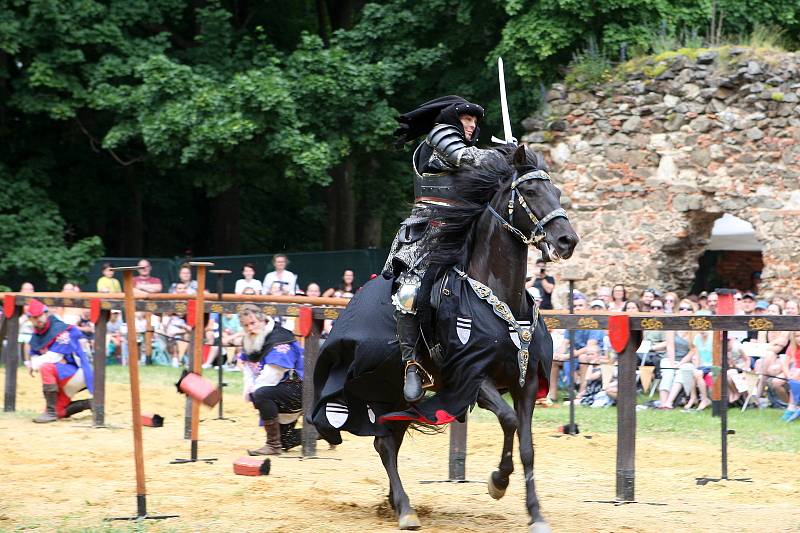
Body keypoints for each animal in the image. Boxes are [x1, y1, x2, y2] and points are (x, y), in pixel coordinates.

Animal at [310, 145, 580, 532]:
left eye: (556, 192)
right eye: (529, 192)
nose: (566, 240)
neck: (500, 299)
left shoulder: (525, 384)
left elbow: (527, 445)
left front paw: (536, 514)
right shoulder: (472, 378)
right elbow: (509, 421)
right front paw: (498, 481)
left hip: (391, 398)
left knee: (388, 442)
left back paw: (396, 503)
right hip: (383, 391)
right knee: (385, 445)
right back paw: (405, 509)